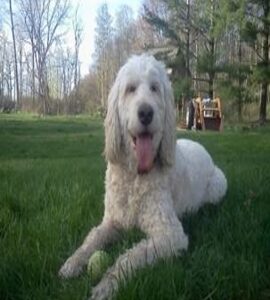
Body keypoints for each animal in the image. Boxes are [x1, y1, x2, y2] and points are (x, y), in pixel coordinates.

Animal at [59, 55, 228, 298]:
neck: (135, 176)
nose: (146, 113)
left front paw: (107, 284)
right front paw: (73, 262)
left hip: (218, 185)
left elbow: (131, 256)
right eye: (130, 89)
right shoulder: (112, 221)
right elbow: (92, 238)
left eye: (155, 88)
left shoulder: (170, 234)